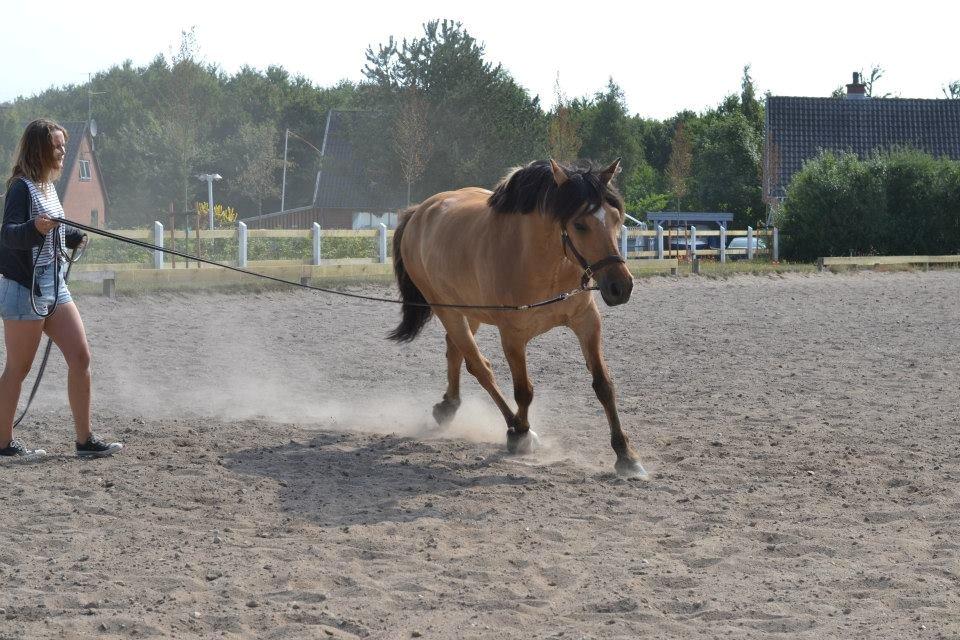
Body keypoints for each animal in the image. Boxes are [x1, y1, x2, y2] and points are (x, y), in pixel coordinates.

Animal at [388, 158, 644, 478]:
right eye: (580, 224)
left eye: (616, 218)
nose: (621, 287)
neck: (542, 262)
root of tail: (421, 211)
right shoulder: (512, 335)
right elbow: (524, 391)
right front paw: (521, 433)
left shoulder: (587, 322)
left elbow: (604, 386)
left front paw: (626, 455)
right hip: (448, 310)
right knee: (479, 366)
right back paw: (514, 427)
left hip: (468, 311)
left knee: (455, 351)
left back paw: (449, 405)